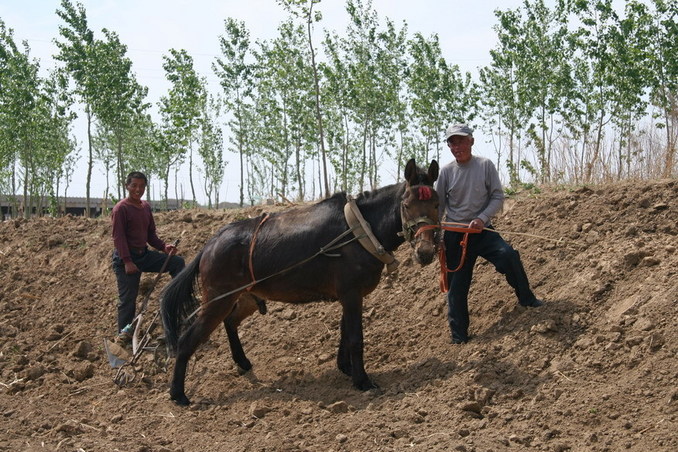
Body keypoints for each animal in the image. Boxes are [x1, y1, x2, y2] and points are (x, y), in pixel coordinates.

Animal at [163, 157, 444, 404]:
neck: (361, 230)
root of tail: (211, 243)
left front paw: (345, 367)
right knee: (187, 341)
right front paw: (362, 380)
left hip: (246, 298)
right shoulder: (352, 294)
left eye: (437, 204)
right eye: (406, 205)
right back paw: (178, 394)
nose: (425, 252)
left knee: (230, 322)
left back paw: (242, 362)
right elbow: (355, 337)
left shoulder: (349, 296)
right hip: (217, 301)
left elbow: (344, 332)